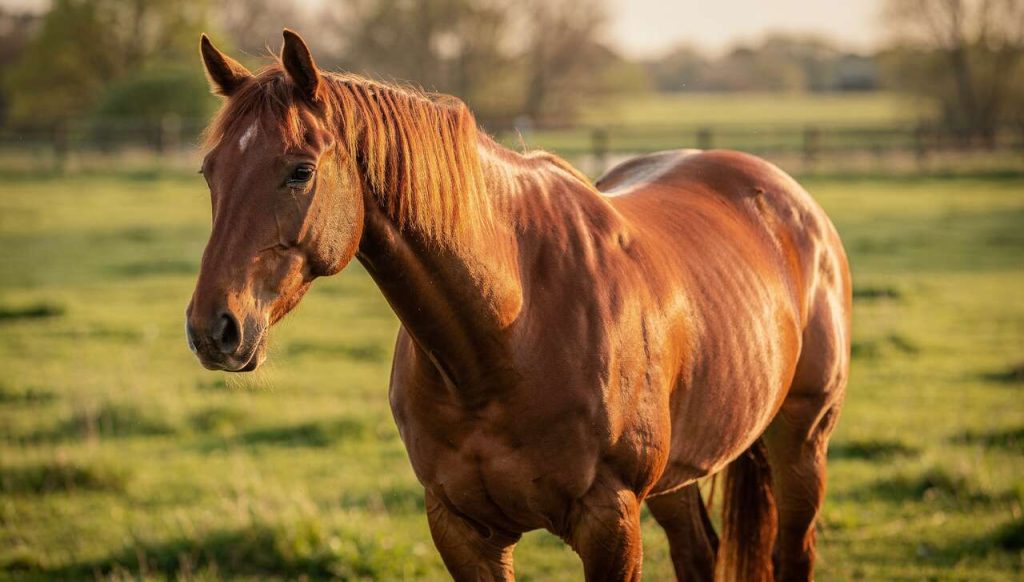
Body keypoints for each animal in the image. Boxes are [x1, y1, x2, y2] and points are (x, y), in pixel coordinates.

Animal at [186, 30, 851, 582]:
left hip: (803, 441)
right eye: (209, 172)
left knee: (794, 550)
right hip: (677, 476)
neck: (509, 334)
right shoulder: (461, 530)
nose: (213, 330)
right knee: (699, 553)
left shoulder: (609, 524)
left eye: (299, 172)